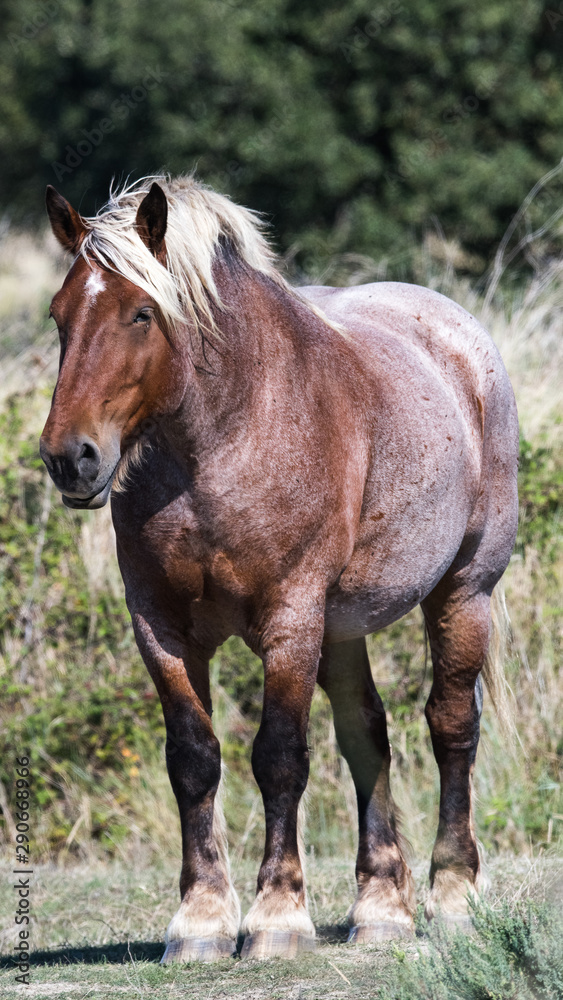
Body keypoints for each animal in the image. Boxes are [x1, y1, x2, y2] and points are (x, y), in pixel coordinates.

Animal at [40, 176, 520, 964]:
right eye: (59, 316)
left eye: (141, 312)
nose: (70, 458)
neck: (225, 439)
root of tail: (460, 334)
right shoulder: (159, 625)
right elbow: (193, 758)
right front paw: (200, 919)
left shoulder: (290, 619)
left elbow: (280, 756)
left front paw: (276, 916)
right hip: (343, 627)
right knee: (366, 735)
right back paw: (381, 907)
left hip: (463, 593)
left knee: (451, 726)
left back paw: (452, 897)